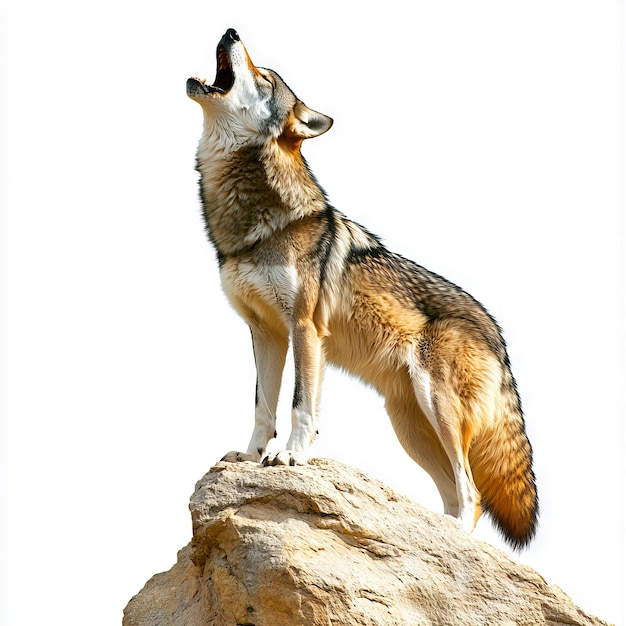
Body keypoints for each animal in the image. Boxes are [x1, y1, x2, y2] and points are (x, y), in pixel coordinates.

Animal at [184, 28, 536, 544]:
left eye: (264, 77)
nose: (231, 31)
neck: (256, 225)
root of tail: (499, 334)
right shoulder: (265, 332)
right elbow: (262, 407)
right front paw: (251, 457)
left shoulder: (305, 328)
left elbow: (300, 406)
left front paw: (290, 457)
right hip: (410, 428)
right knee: (453, 494)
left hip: (438, 410)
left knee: (471, 494)